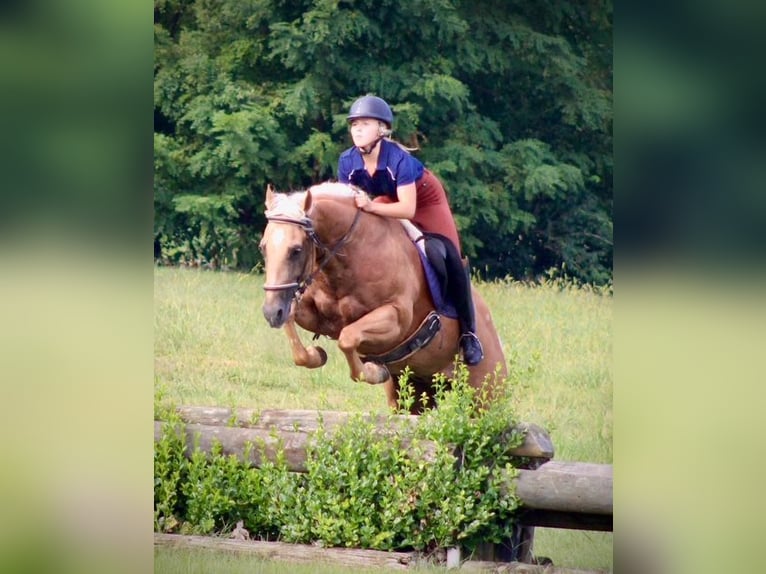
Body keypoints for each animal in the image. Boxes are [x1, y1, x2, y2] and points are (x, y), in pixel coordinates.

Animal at [260, 182, 507, 414]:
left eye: (296, 250)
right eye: (263, 248)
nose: (271, 313)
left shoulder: (396, 318)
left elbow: (347, 338)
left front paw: (373, 371)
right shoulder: (315, 315)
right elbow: (294, 326)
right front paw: (316, 355)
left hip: (484, 395)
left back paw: (472, 347)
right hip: (413, 392)